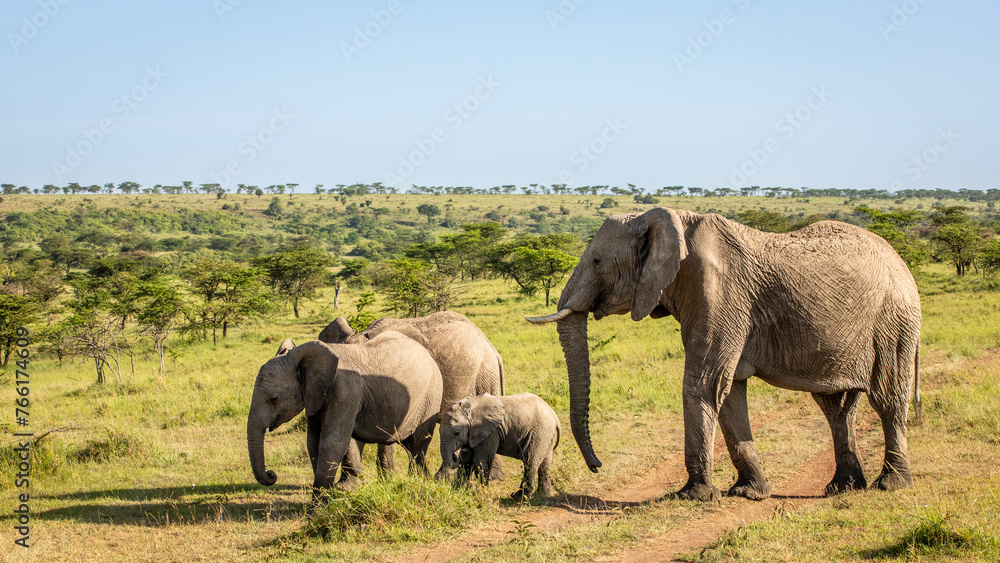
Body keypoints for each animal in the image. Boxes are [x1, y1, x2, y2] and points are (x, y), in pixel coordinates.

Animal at [247, 332, 443, 499]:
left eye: (274, 399)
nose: (271, 474)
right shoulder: (314, 396)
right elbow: (314, 443)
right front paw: (341, 491)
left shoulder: (345, 391)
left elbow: (332, 443)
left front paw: (317, 508)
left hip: (431, 395)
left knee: (418, 443)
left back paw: (417, 481)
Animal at [527, 207, 921, 501]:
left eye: (596, 261)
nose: (598, 467)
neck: (663, 220)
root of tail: (902, 261)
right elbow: (730, 391)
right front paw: (748, 493)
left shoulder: (720, 294)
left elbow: (704, 383)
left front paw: (692, 495)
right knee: (836, 406)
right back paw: (843, 488)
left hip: (894, 321)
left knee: (887, 397)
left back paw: (891, 484)